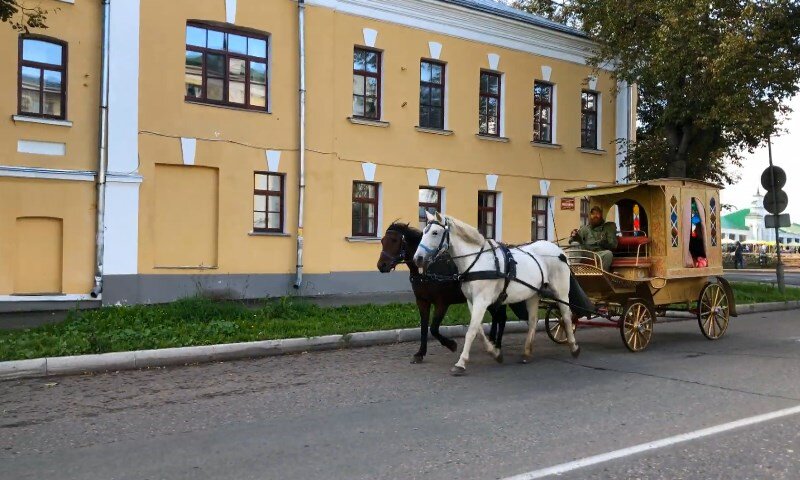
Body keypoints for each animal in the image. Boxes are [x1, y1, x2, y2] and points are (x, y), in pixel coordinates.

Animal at [378, 221, 528, 364]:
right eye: (382, 241)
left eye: (394, 240)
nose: (381, 265)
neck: (429, 270)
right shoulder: (422, 302)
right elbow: (424, 327)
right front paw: (420, 353)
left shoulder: (441, 303)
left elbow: (433, 328)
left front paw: (451, 345)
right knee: (497, 317)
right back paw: (492, 342)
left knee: (501, 318)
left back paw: (497, 345)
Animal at [416, 211, 580, 376]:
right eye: (424, 232)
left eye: (435, 232)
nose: (418, 258)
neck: (476, 261)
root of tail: (560, 252)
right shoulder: (472, 301)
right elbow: (478, 330)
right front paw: (495, 352)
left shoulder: (481, 301)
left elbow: (471, 331)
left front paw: (461, 363)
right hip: (533, 294)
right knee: (533, 320)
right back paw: (527, 352)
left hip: (561, 292)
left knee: (566, 316)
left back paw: (573, 347)